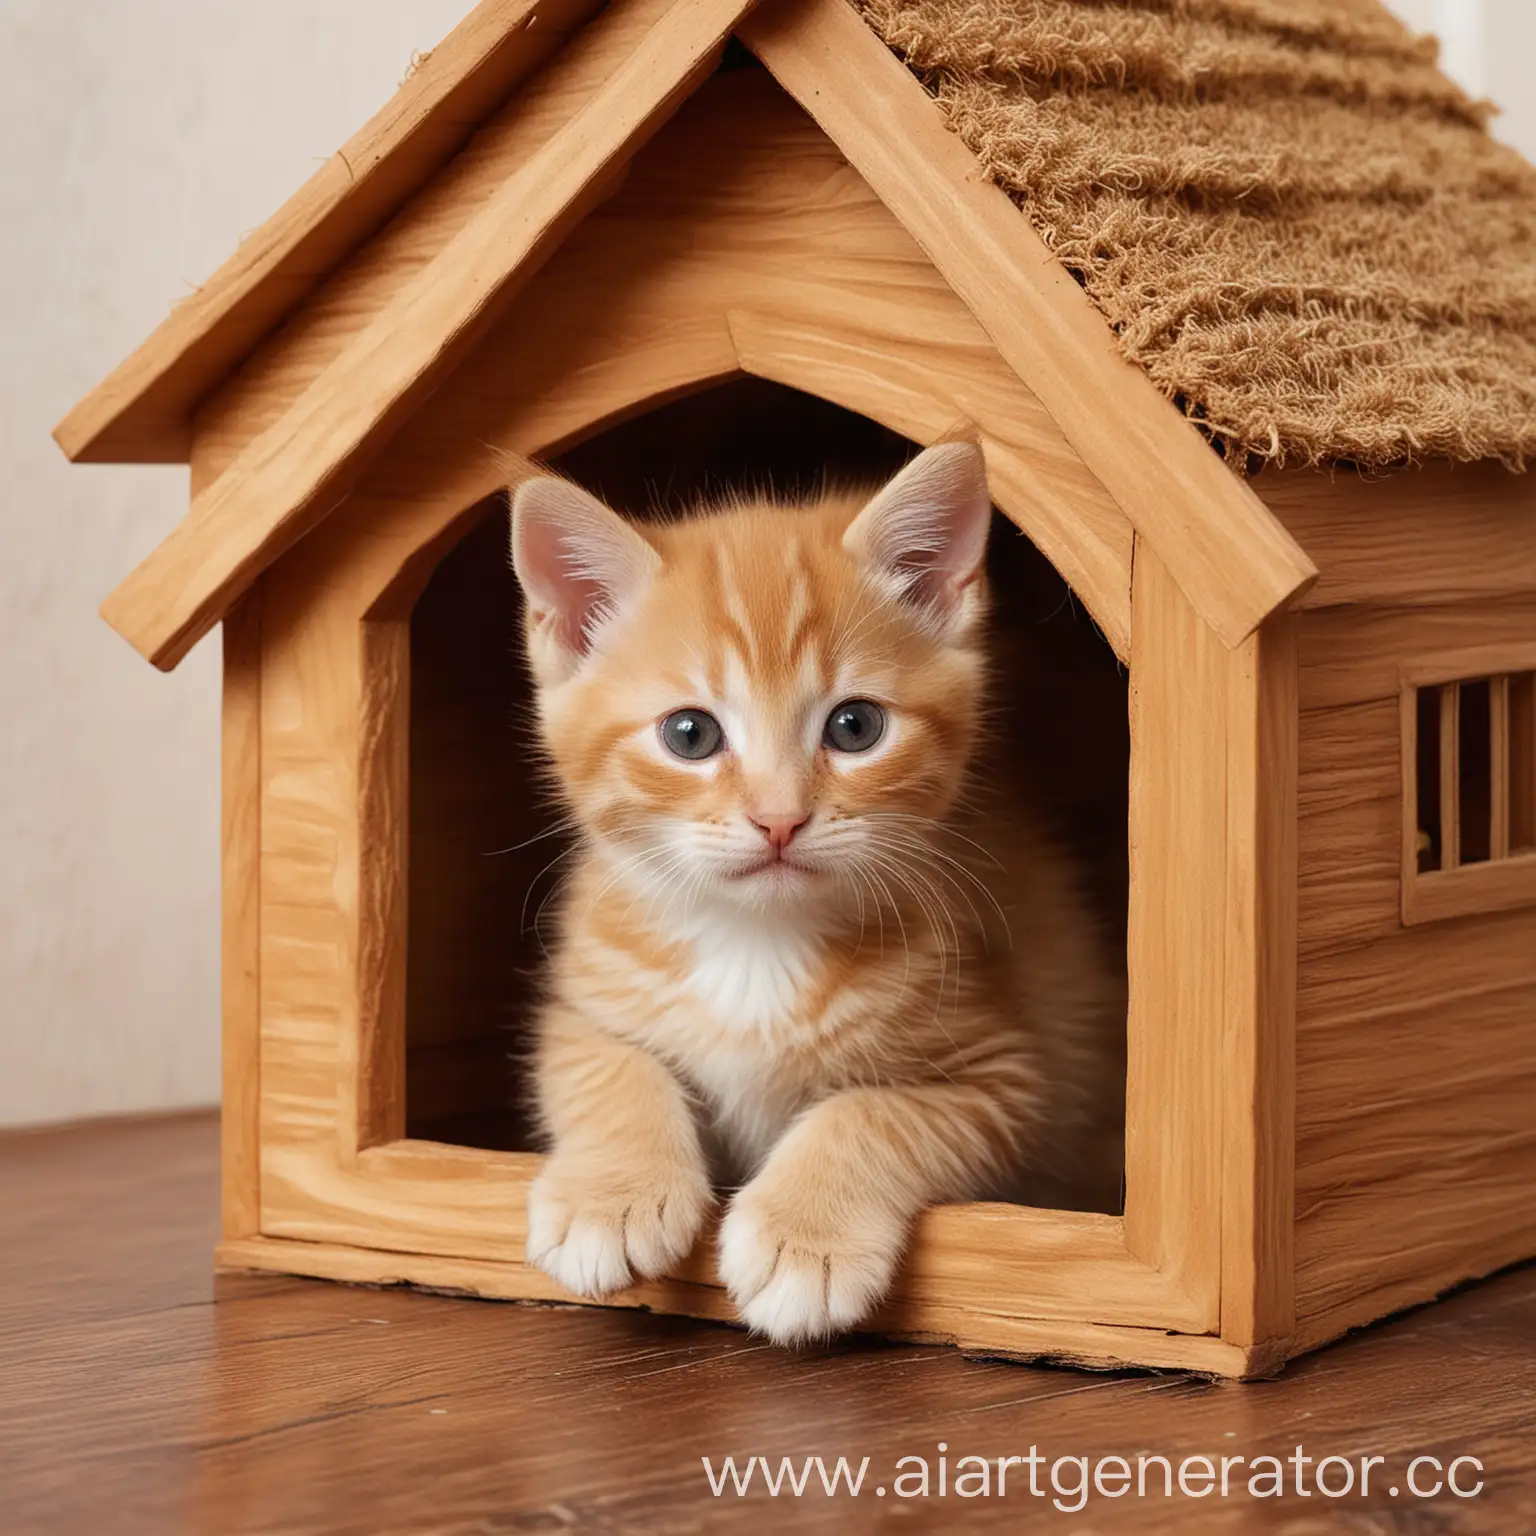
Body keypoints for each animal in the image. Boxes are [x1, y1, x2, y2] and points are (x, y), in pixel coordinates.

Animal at [509, 442, 1124, 1345]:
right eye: (689, 734)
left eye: (855, 727)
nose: (779, 820)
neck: (754, 944)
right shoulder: (581, 999)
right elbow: (601, 1064)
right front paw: (607, 1197)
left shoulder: (1006, 1074)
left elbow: (870, 1113)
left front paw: (806, 1241)